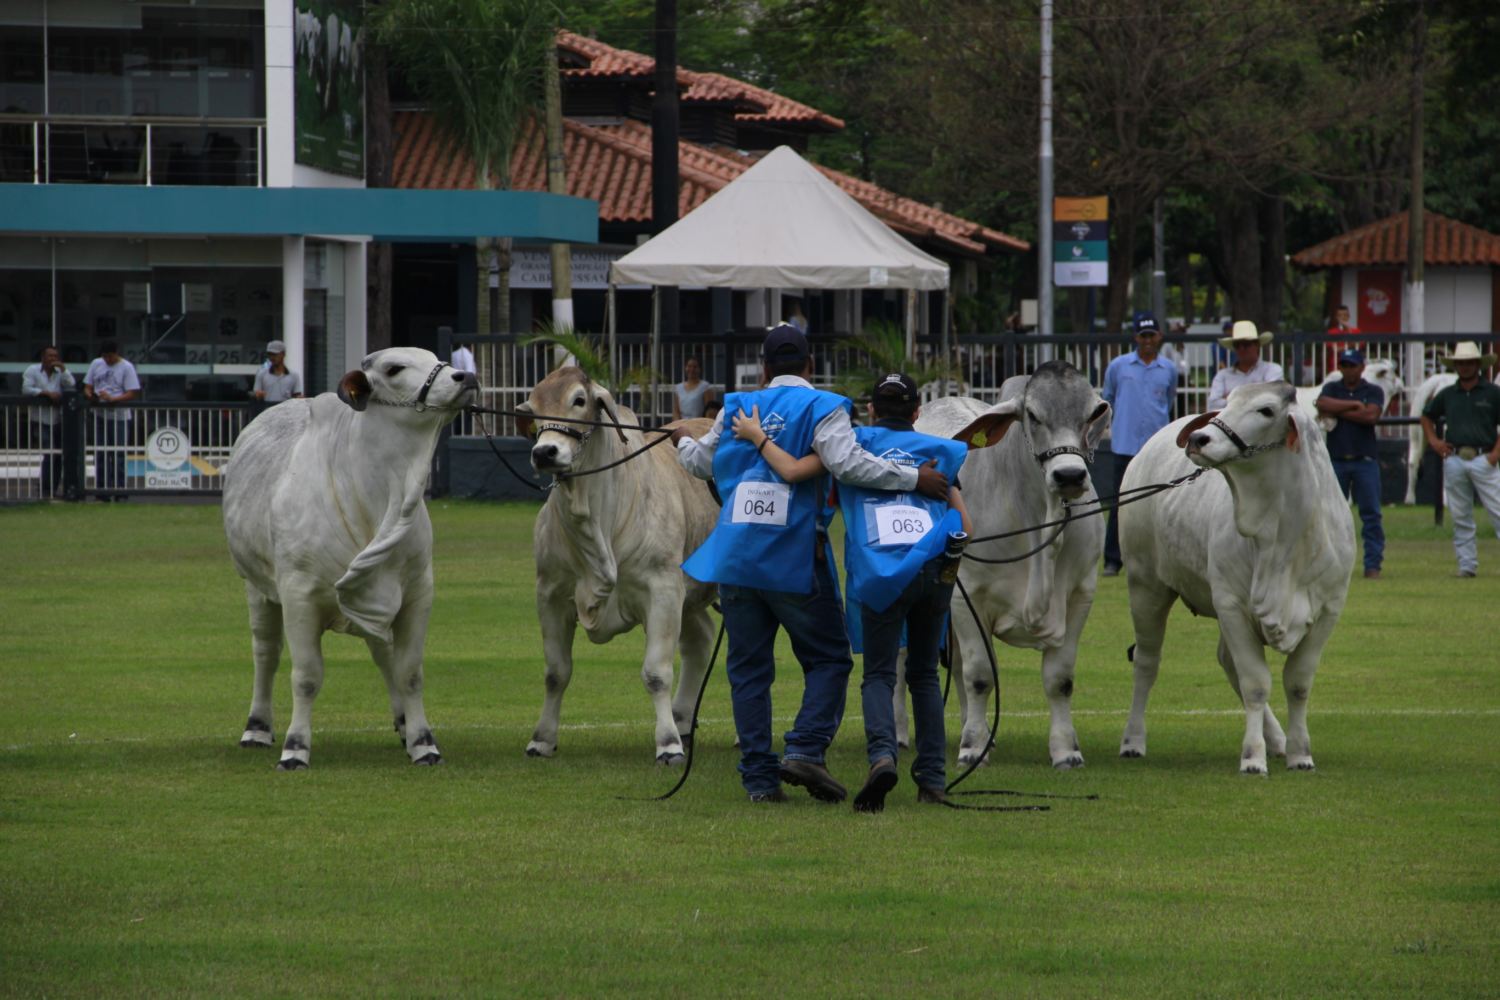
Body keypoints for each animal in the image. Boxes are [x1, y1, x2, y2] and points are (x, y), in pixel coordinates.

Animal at [222, 347, 474, 773]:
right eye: (394, 368)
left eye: (434, 357)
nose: (465, 377)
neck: (382, 497)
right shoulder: (299, 596)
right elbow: (306, 676)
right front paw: (295, 748)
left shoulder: (416, 592)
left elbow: (409, 672)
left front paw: (423, 742)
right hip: (256, 587)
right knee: (266, 654)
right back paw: (257, 728)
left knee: (383, 654)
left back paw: (402, 723)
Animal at [516, 367, 720, 767]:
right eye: (533, 405)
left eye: (579, 400)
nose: (545, 452)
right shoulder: (550, 594)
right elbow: (556, 673)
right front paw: (542, 739)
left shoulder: (662, 589)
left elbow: (656, 673)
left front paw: (667, 745)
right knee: (700, 640)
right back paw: (682, 720)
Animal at [906, 364, 1110, 773]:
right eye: (1032, 415)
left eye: (1091, 413)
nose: (1069, 476)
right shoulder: (966, 596)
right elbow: (980, 676)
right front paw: (972, 748)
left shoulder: (1081, 596)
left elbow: (1059, 679)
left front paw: (1065, 750)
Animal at [1122, 380, 1356, 773]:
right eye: (1228, 401)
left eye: (1266, 410)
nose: (1198, 438)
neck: (1285, 536)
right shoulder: (1231, 604)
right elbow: (1255, 683)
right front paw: (1252, 757)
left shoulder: (1329, 612)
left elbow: (1298, 684)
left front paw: (1300, 753)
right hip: (1146, 586)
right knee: (1146, 662)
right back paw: (1133, 740)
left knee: (1225, 661)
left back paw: (1277, 740)